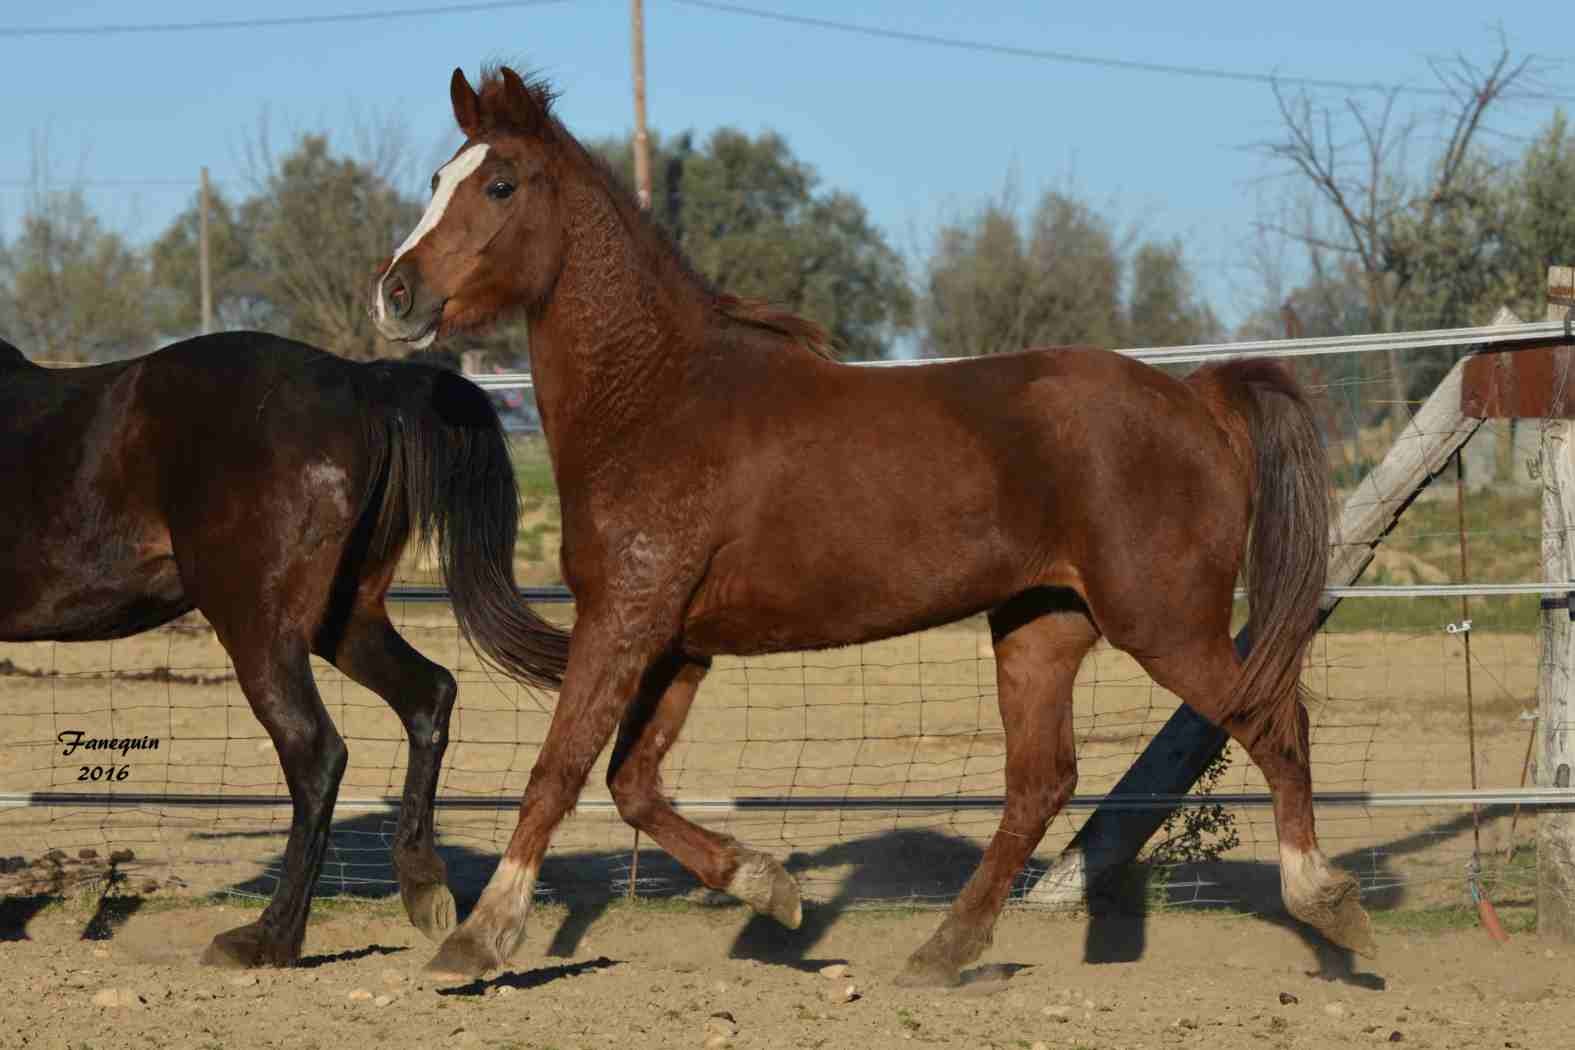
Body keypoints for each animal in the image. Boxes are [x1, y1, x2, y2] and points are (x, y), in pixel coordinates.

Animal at [0, 335, 567, 969]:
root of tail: (362, 383)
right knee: (429, 693)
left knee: (316, 750)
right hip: (342, 618)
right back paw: (422, 886)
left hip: (259, 626)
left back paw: (266, 939)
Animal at [371, 65, 1379, 988]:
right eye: (439, 177)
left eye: (500, 184)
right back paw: (941, 952)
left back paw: (1330, 910)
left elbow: (559, 771)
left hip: (1161, 620)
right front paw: (771, 890)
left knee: (1272, 719)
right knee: (1040, 782)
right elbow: (629, 784)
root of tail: (1197, 397)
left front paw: (477, 940)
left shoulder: (624, 620)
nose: (395, 293)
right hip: (1041, 627)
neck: (657, 399)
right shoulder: (675, 643)